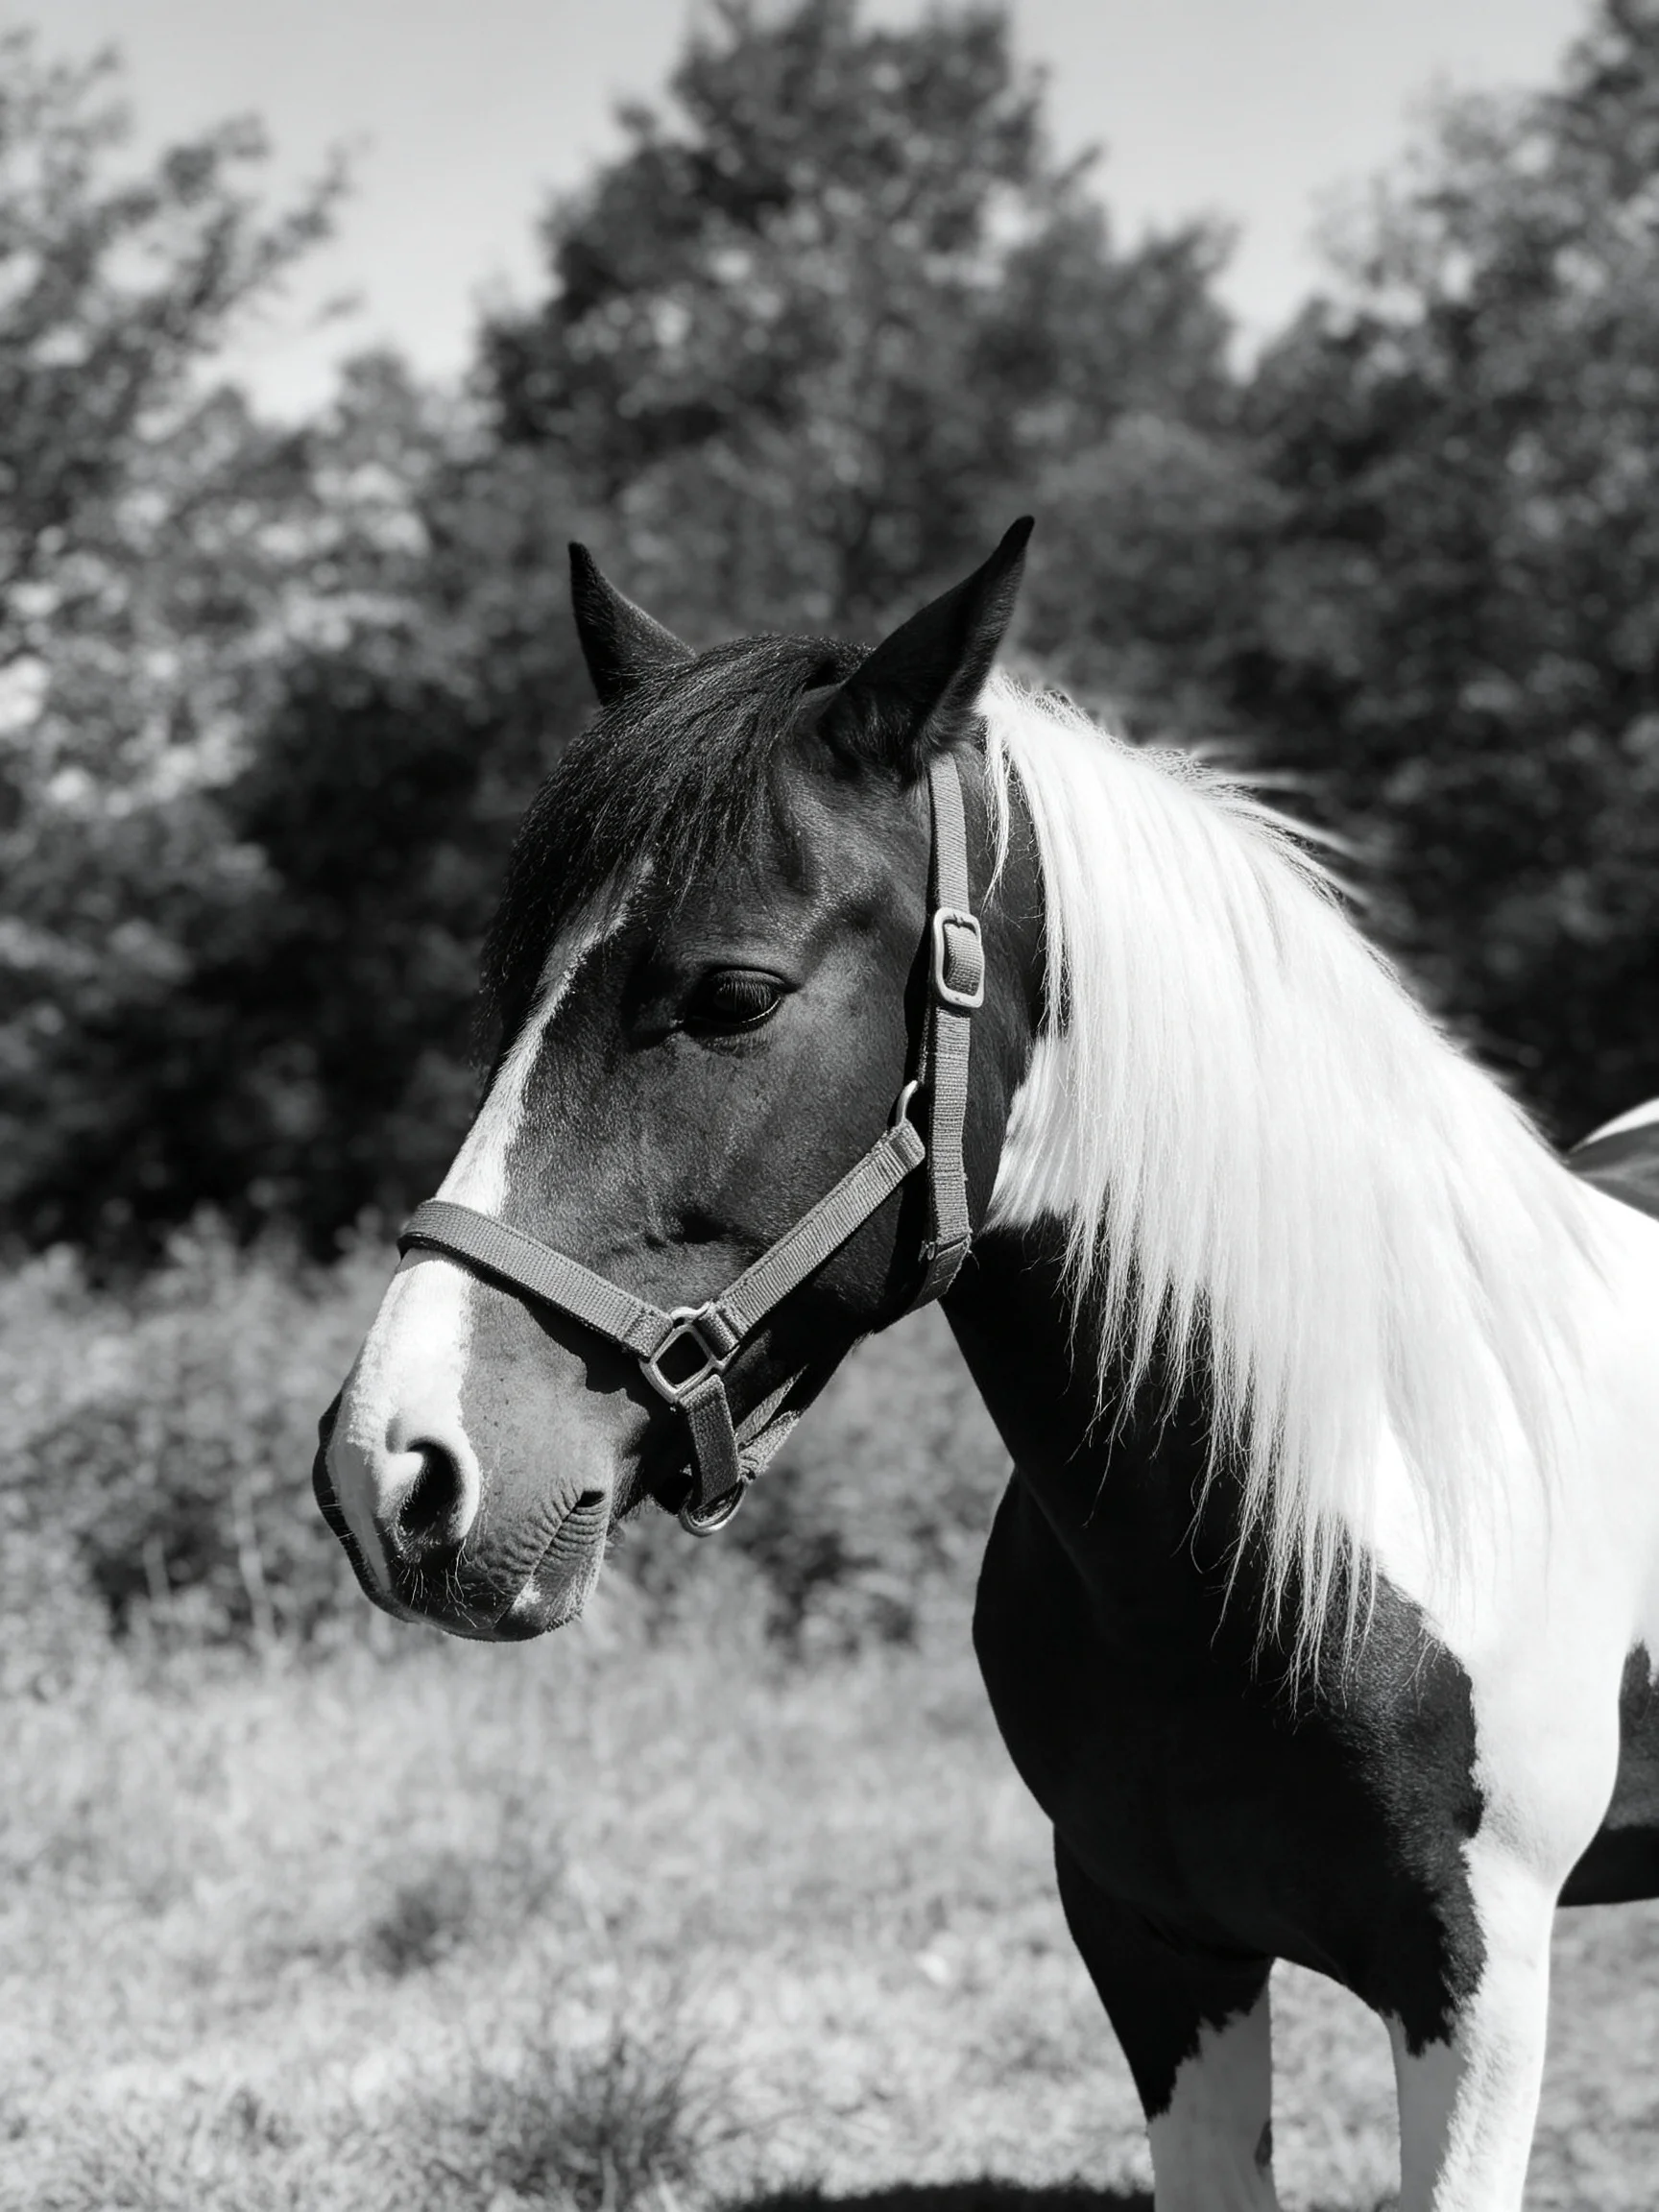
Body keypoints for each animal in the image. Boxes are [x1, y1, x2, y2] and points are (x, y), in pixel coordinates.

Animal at [315, 520, 1659, 2212]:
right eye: (509, 993)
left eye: (733, 996)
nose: (394, 1468)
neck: (1357, 1489)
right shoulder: (1156, 1950)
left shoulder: (1478, 1992)